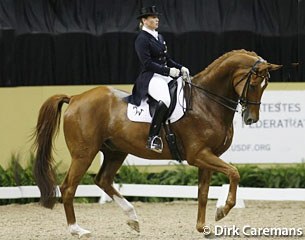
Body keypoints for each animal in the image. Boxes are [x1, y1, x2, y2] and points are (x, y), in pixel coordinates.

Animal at [32, 49, 280, 238]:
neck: (207, 102)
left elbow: (203, 193)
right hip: (84, 153)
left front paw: (203, 228)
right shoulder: (198, 155)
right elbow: (234, 173)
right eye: (254, 83)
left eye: (266, 85)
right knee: (68, 187)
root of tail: (75, 98)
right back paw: (77, 230)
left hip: (115, 152)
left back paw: (132, 218)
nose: (251, 118)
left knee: (103, 180)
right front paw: (222, 210)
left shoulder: (207, 157)